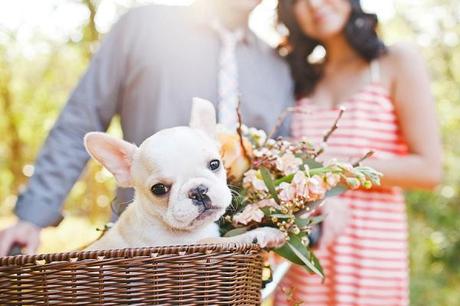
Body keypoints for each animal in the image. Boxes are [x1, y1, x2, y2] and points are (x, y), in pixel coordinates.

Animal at [84, 98, 282, 251]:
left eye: (215, 164)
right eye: (159, 189)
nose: (198, 191)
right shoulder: (192, 245)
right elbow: (218, 241)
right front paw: (262, 233)